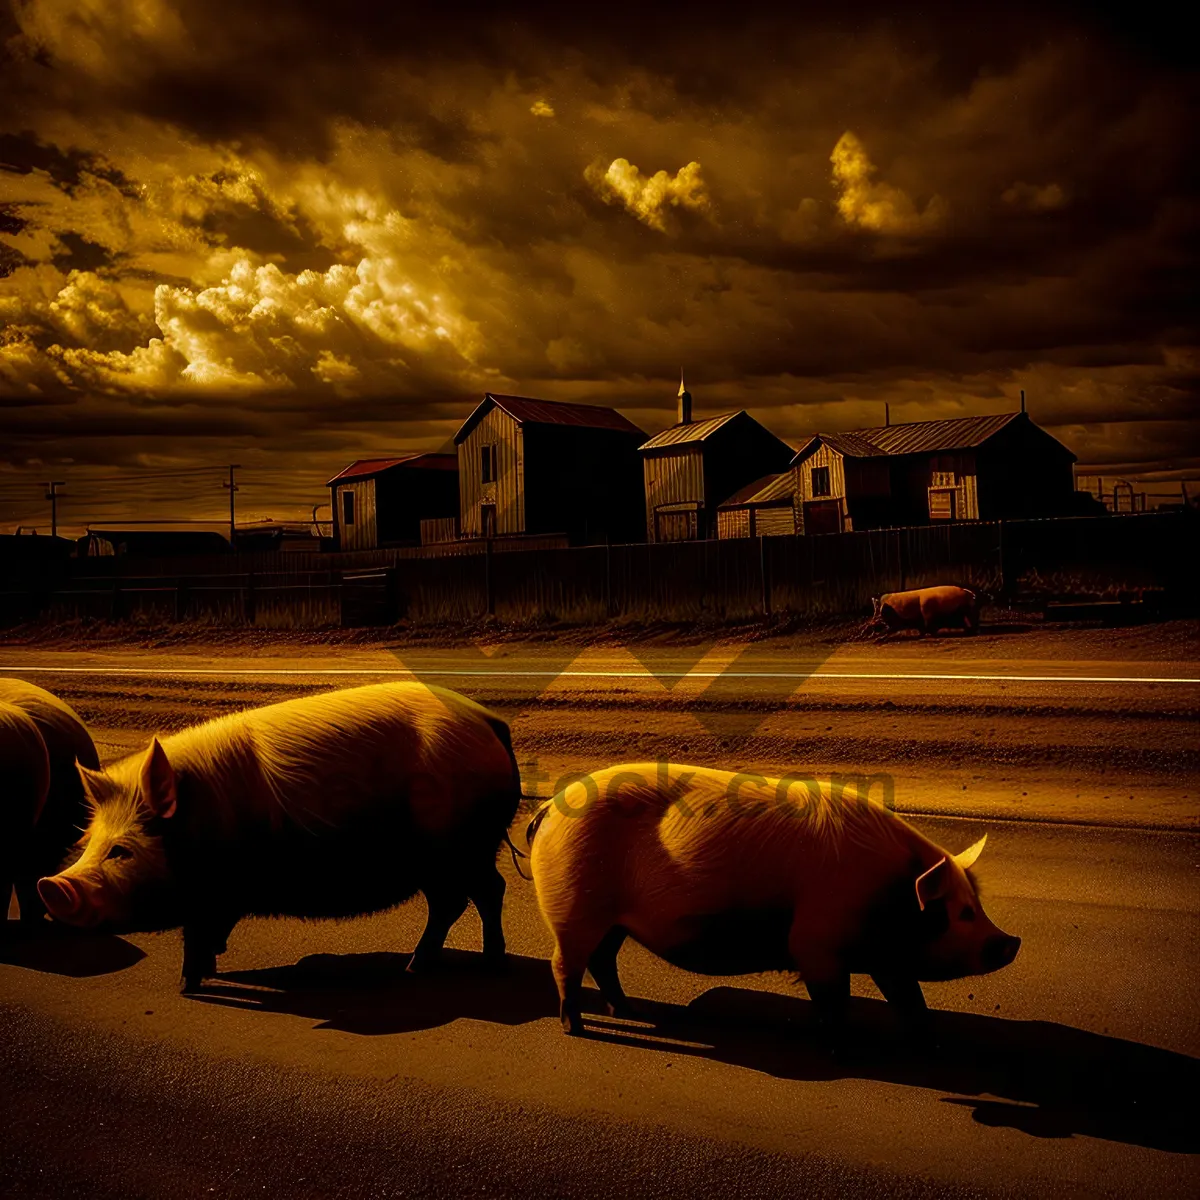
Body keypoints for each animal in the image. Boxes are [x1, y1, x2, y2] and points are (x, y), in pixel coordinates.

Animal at [37, 681, 523, 988]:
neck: (201, 818)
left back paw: (475, 965)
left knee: (485, 893)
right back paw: (421, 966)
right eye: (88, 846)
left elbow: (196, 933)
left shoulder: (208, 891)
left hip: (461, 846)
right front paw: (211, 968)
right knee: (457, 902)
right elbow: (210, 931)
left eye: (122, 851)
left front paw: (188, 984)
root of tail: (488, 722)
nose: (53, 885)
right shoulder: (219, 895)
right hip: (448, 855)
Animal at [530, 763, 1017, 1046]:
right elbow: (834, 999)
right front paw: (839, 1041)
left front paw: (926, 1035)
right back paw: (576, 1027)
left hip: (610, 921)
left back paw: (630, 1011)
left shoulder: (886, 959)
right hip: (572, 907)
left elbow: (909, 996)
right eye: (958, 912)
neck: (887, 892)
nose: (1011, 941)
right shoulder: (816, 945)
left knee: (603, 961)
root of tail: (550, 807)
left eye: (975, 903)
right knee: (565, 965)